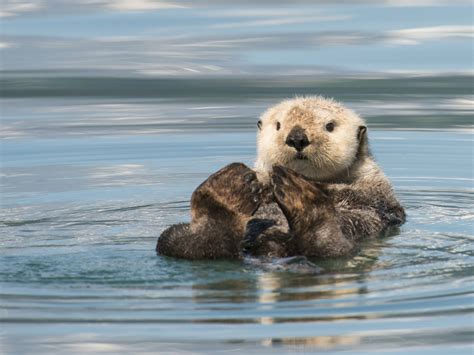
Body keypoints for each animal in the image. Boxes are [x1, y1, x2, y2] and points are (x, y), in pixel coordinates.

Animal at [157, 96, 406, 260]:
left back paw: (299, 195)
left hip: (341, 247)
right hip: (174, 238)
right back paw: (227, 192)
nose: (297, 137)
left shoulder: (377, 192)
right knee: (189, 246)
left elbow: (359, 197)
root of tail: (271, 249)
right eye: (278, 125)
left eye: (330, 126)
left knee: (328, 248)